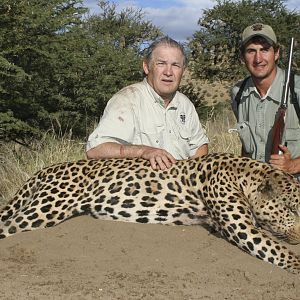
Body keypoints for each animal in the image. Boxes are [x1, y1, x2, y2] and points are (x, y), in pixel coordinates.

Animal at [0, 154, 300, 274]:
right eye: (293, 208)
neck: (246, 174)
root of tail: (45, 169)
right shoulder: (242, 228)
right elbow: (280, 250)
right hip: (46, 209)